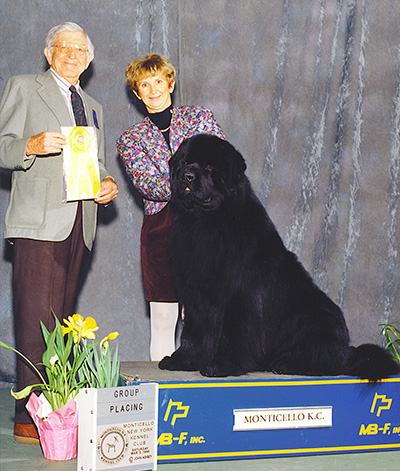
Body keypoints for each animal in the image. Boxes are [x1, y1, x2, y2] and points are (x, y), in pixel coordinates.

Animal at [159, 132, 400, 380]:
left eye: (209, 166)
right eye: (185, 163)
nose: (187, 176)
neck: (205, 222)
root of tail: (348, 352)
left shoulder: (237, 296)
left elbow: (231, 335)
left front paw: (221, 365)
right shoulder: (195, 295)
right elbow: (194, 332)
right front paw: (183, 360)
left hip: (313, 315)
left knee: (326, 359)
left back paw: (288, 363)